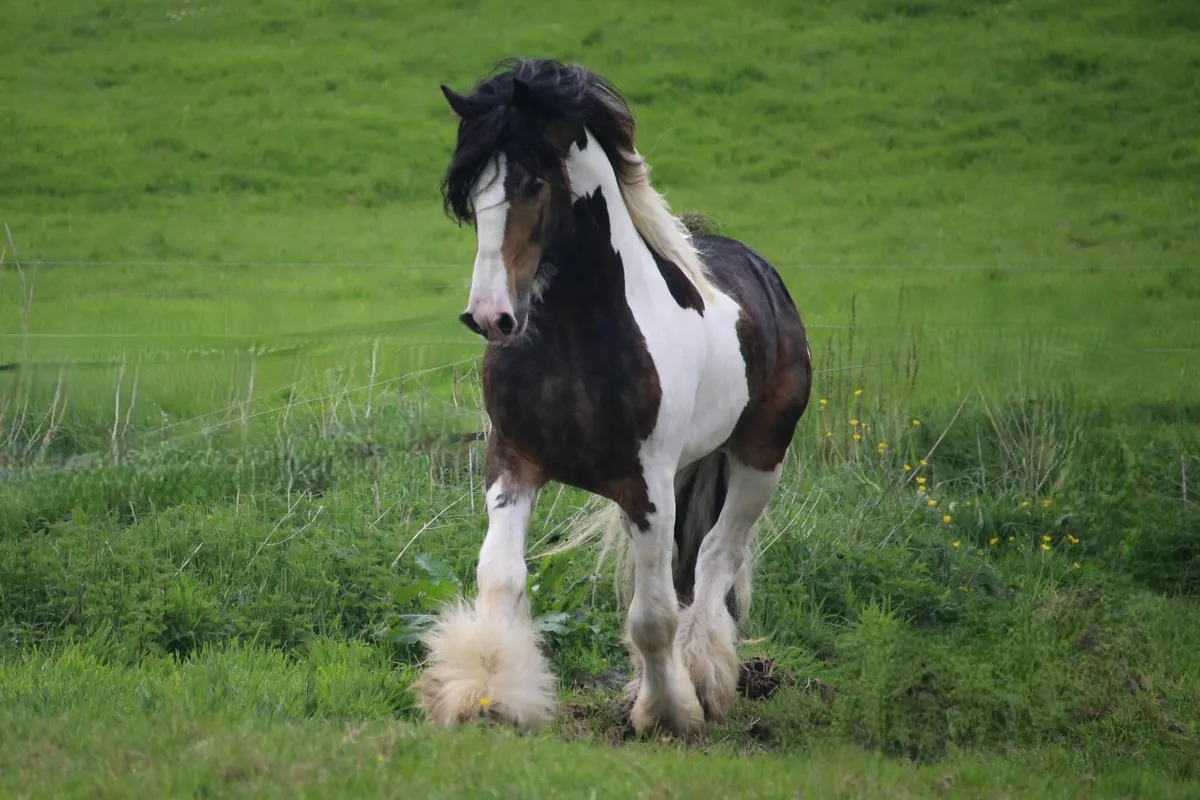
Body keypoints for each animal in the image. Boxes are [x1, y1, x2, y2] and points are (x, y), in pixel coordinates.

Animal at [414, 57, 812, 738]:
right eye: (471, 194)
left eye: (533, 184)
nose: (490, 316)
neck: (577, 338)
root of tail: (766, 277)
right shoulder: (514, 462)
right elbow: (500, 579)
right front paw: (490, 694)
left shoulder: (645, 488)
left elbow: (652, 617)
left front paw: (668, 712)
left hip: (760, 460)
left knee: (714, 559)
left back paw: (707, 682)